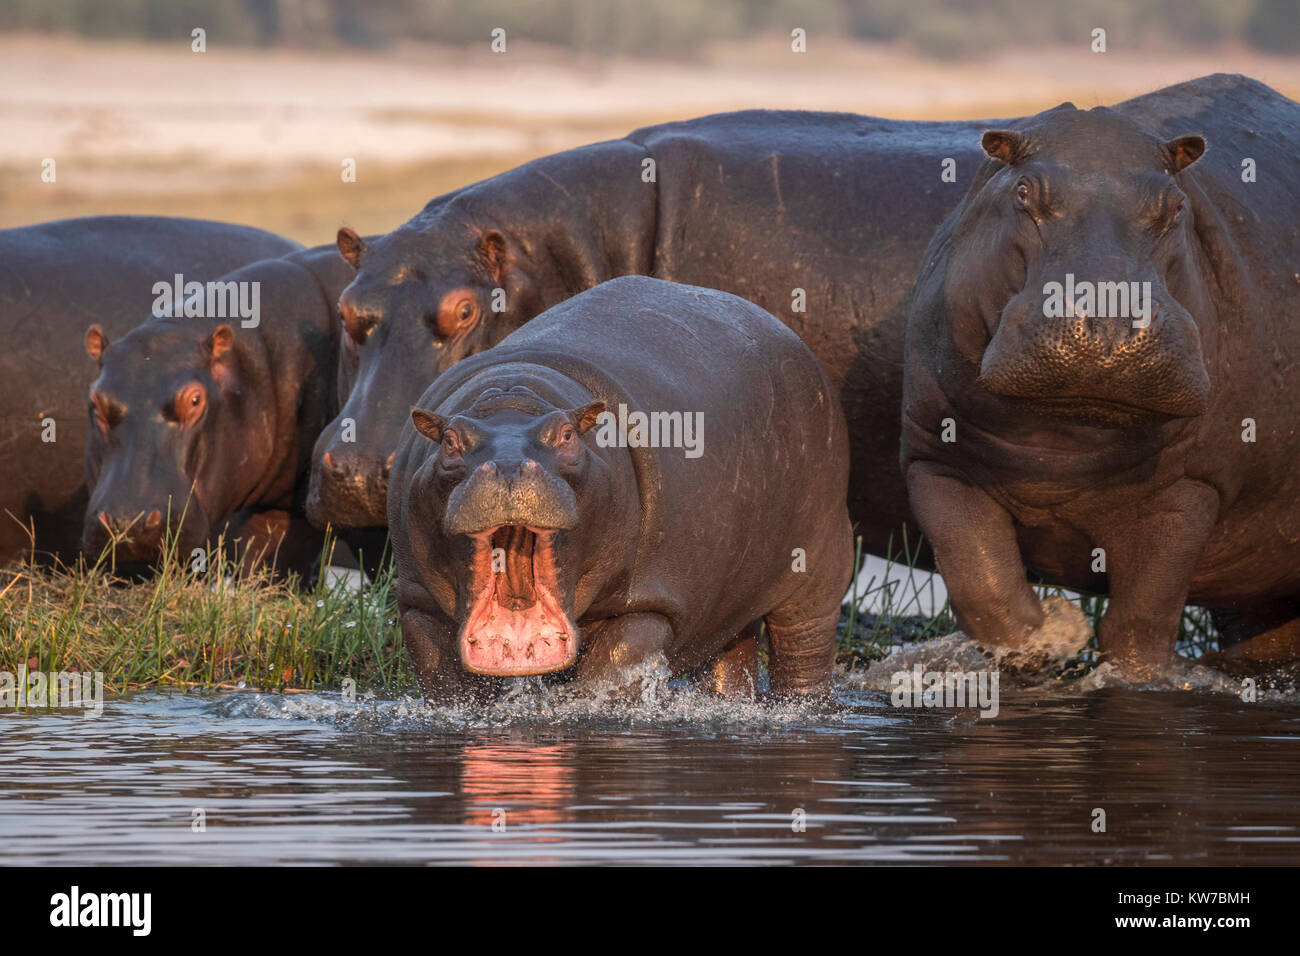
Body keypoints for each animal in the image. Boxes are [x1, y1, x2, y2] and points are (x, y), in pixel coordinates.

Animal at [390, 276, 852, 699]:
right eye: (450, 441)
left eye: (566, 434)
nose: (506, 466)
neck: (513, 397)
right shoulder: (419, 607)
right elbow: (446, 681)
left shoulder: (647, 604)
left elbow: (608, 674)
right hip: (729, 596)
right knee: (730, 657)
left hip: (819, 568)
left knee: (804, 649)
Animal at [901, 74, 1300, 680]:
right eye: (1023, 193)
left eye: (1176, 205)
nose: (1110, 320)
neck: (1064, 443)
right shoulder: (935, 459)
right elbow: (981, 584)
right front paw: (1055, 634)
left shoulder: (1191, 487)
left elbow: (1141, 621)